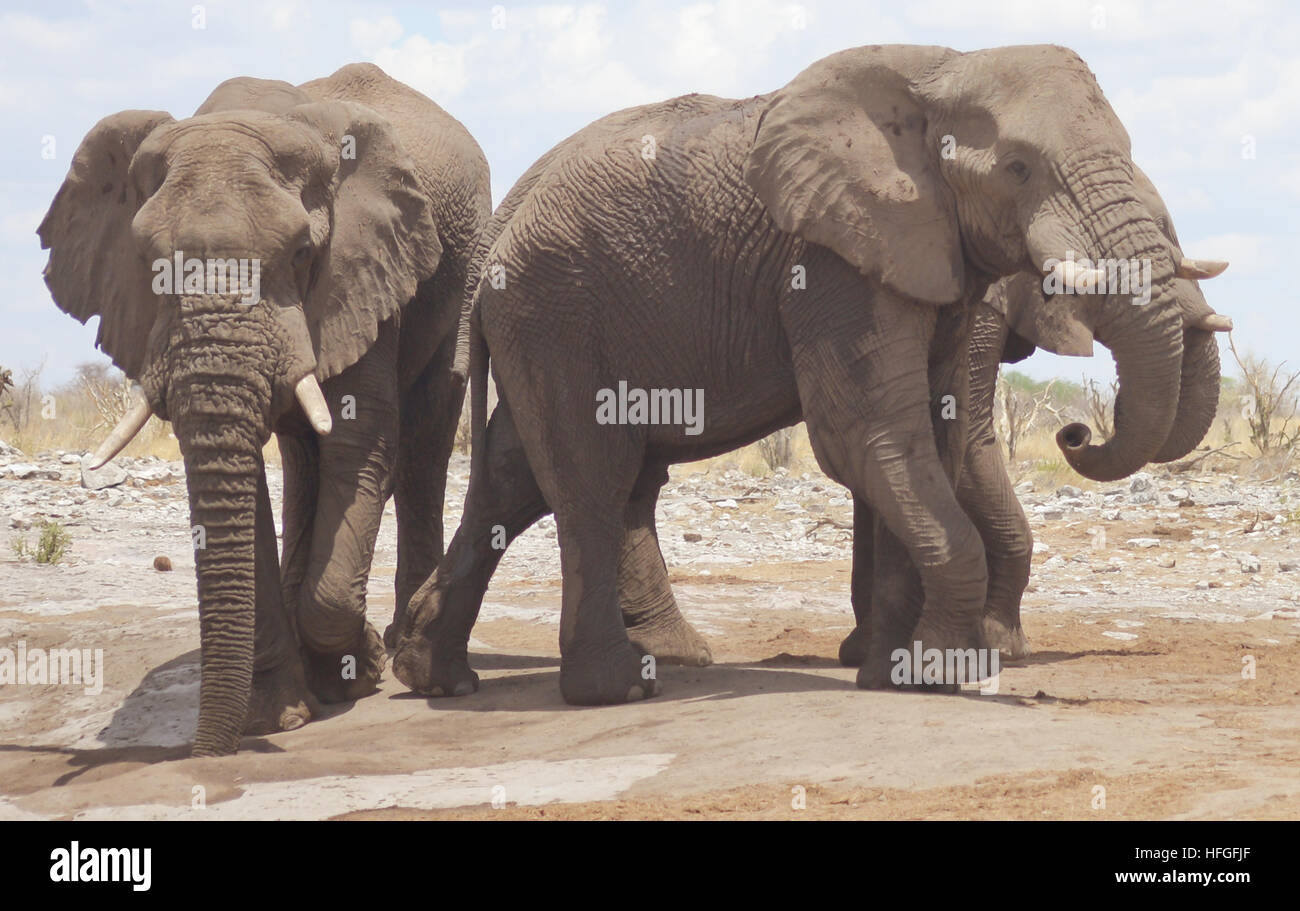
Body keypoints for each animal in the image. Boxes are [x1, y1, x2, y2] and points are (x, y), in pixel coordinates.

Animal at [40, 64, 488, 758]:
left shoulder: (361, 270)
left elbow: (359, 440)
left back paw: (403, 649)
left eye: (302, 254)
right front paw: (278, 715)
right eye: (147, 264)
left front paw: (357, 665)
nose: (203, 755)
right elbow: (241, 469)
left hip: (458, 279)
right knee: (304, 459)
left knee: (424, 442)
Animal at [390, 44, 1222, 701]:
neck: (944, 68)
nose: (1076, 433)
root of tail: (496, 250)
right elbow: (870, 433)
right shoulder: (830, 256)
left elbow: (928, 435)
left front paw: (896, 668)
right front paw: (947, 668)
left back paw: (435, 676)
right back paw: (617, 688)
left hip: (548, 326)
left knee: (515, 474)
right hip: (558, 310)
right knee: (592, 475)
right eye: (1018, 167)